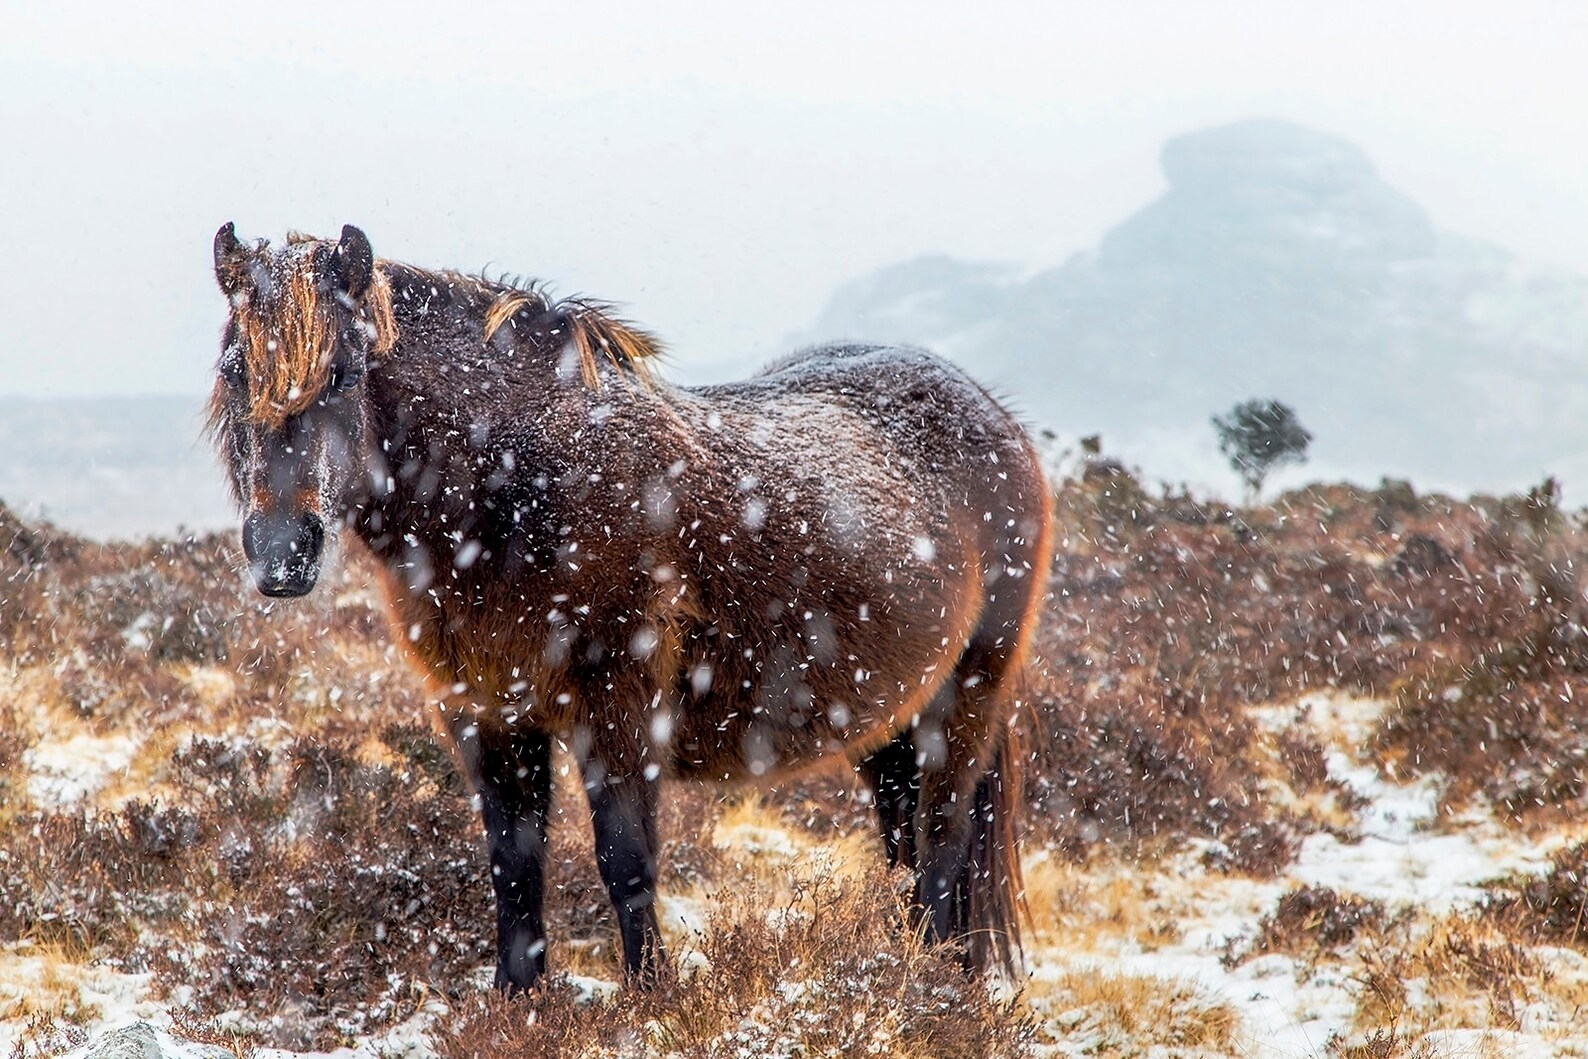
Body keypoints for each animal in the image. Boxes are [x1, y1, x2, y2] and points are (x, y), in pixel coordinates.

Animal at [207, 223, 1054, 993]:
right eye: (235, 370)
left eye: (345, 371)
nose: (281, 552)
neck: (515, 485)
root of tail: (995, 417)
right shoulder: (484, 712)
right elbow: (514, 863)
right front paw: (518, 1002)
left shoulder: (618, 707)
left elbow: (626, 860)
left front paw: (652, 1000)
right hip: (886, 720)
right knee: (904, 844)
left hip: (965, 698)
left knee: (941, 841)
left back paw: (930, 984)